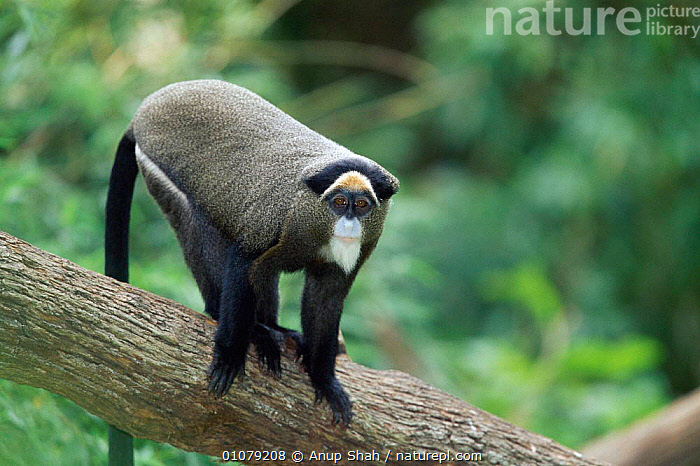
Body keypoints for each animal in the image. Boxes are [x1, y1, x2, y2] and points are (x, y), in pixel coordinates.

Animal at [105, 80, 398, 425]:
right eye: (340, 202)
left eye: (362, 205)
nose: (349, 224)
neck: (309, 215)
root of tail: (143, 112)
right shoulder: (268, 221)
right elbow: (243, 263)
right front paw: (231, 355)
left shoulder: (354, 255)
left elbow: (326, 298)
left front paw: (324, 378)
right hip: (160, 169)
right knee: (199, 227)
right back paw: (243, 323)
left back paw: (273, 327)